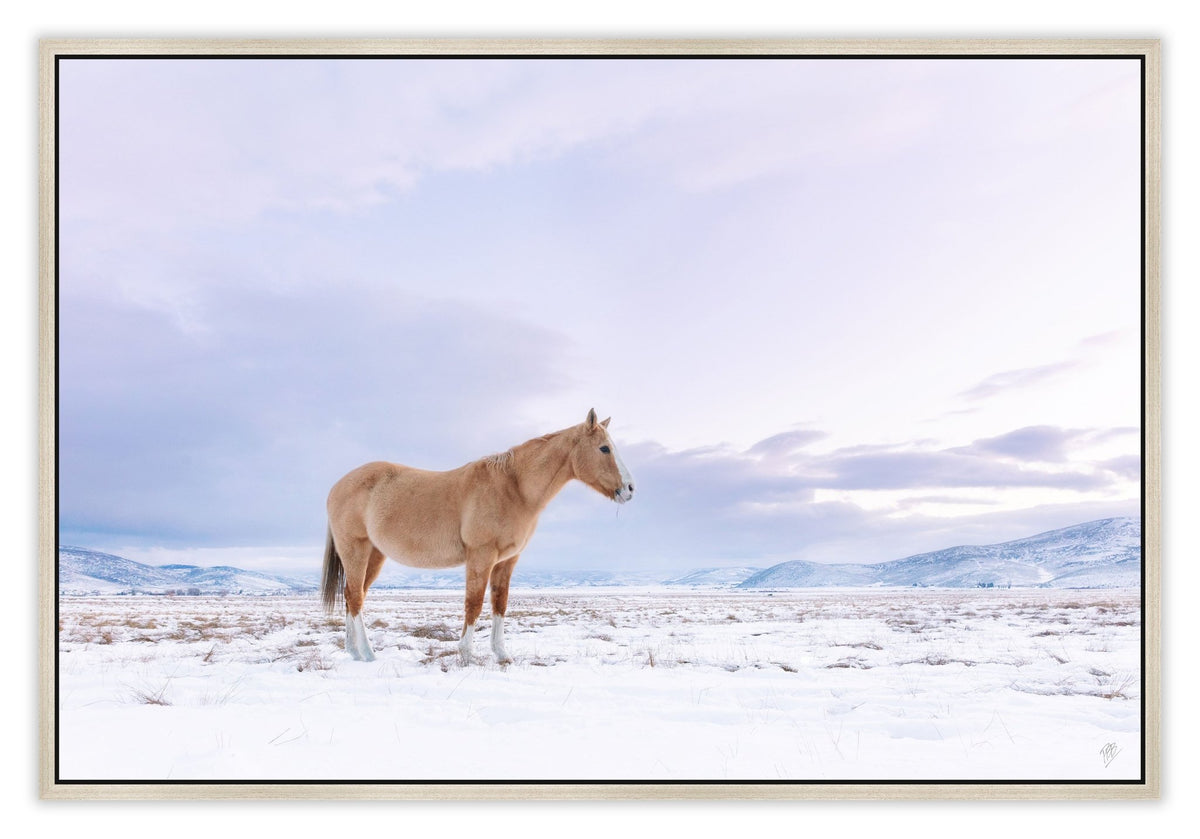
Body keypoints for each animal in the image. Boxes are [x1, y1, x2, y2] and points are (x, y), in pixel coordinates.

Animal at [319, 410, 638, 667]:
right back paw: (368, 653)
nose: (630, 489)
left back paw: (353, 652)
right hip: (356, 551)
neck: (514, 488)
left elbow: (500, 604)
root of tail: (337, 486)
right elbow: (473, 604)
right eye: (604, 448)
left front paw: (502, 654)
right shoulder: (481, 556)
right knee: (355, 597)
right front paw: (467, 654)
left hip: (374, 555)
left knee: (353, 596)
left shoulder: (506, 561)